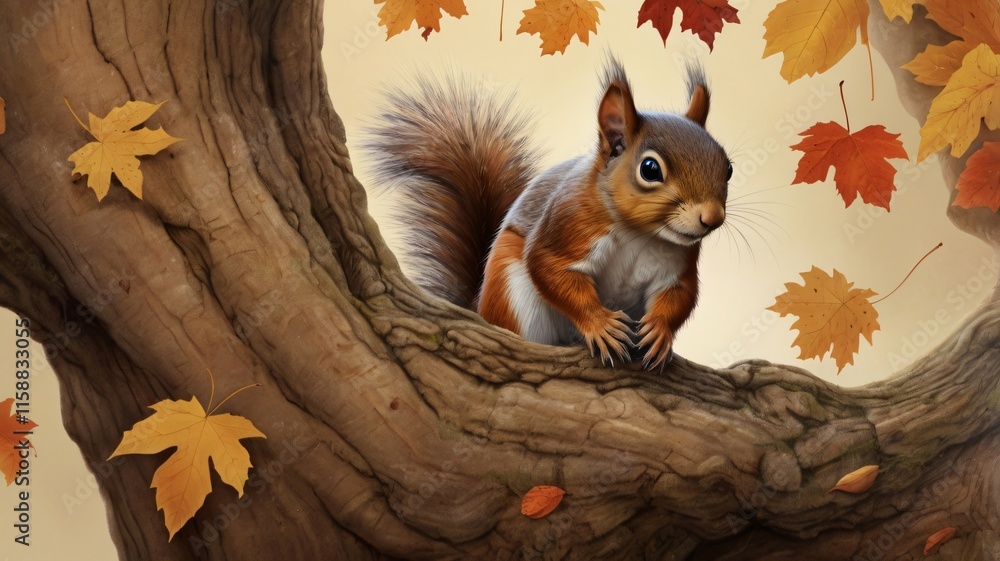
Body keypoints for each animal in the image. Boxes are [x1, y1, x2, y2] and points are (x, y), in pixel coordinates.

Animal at [366, 56, 732, 370]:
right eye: (650, 169)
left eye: (728, 167)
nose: (712, 218)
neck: (640, 233)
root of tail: (479, 308)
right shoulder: (571, 224)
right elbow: (549, 268)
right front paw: (600, 324)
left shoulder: (678, 263)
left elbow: (680, 295)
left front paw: (659, 331)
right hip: (512, 294)